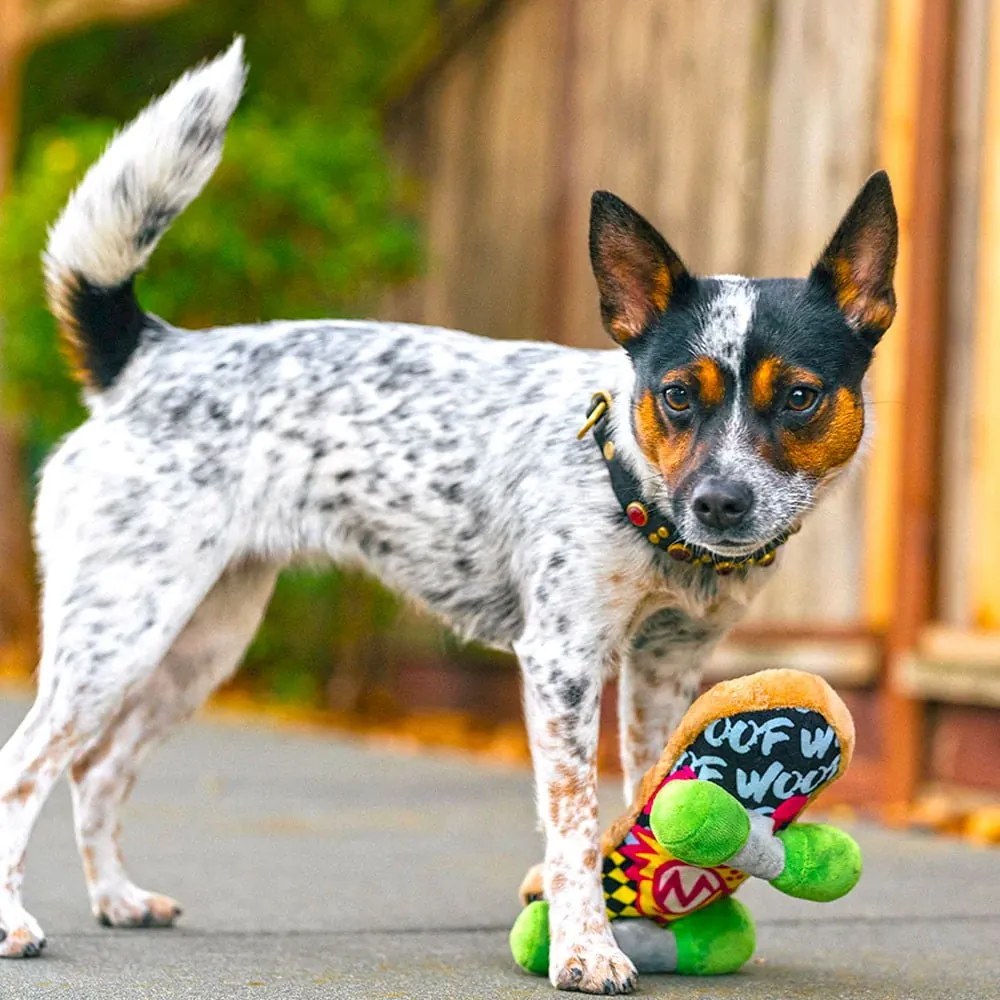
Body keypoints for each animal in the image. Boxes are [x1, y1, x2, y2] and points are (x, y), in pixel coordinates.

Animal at [0, 39, 896, 992]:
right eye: (677, 395)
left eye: (799, 396)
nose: (719, 502)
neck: (635, 494)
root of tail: (149, 356)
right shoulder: (562, 663)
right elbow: (575, 822)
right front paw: (585, 948)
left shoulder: (666, 664)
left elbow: (645, 792)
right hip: (118, 634)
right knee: (24, 766)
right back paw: (15, 921)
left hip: (199, 644)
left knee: (98, 771)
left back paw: (118, 898)